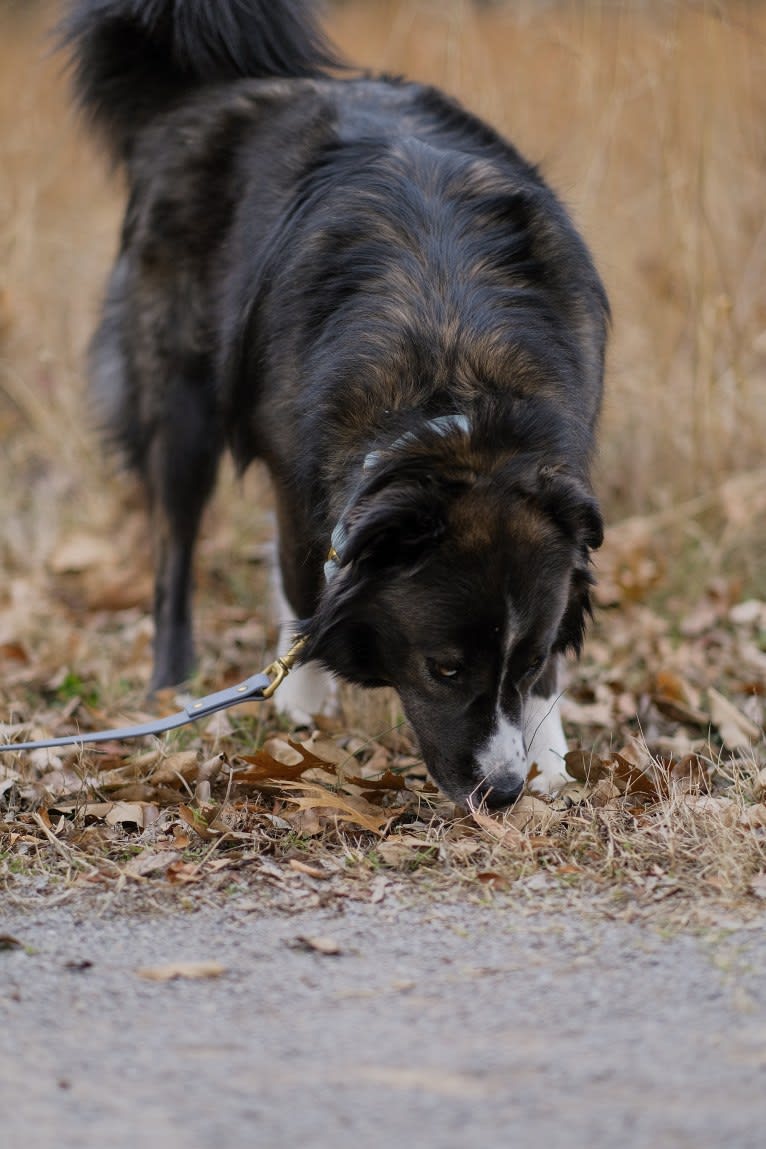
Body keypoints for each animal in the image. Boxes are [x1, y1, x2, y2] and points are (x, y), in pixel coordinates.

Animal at [62, 0, 606, 808]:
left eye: (531, 657)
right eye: (445, 668)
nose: (501, 792)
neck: (459, 392)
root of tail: (228, 89)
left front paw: (550, 756)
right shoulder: (303, 470)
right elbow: (301, 578)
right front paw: (301, 704)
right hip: (180, 403)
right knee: (173, 548)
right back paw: (174, 681)